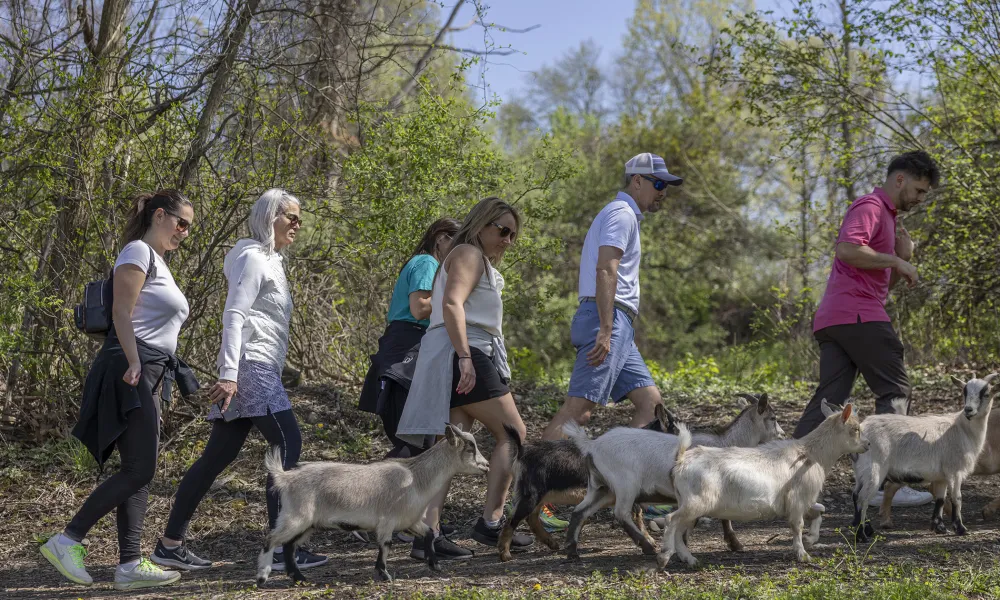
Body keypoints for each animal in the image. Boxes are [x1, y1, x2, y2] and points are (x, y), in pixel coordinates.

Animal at [560, 394, 784, 556]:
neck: (725, 443)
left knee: (580, 512)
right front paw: (733, 544)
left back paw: (572, 550)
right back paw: (647, 546)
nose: (782, 435)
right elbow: (716, 517)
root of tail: (592, 445)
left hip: (601, 487)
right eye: (773, 418)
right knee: (621, 513)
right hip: (625, 485)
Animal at [660, 398, 864, 568]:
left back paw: (689, 559)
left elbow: (819, 512)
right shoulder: (798, 499)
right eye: (855, 429)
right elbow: (797, 525)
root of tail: (681, 460)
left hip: (689, 503)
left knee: (679, 529)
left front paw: (810, 539)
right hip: (696, 502)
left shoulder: (799, 501)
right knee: (671, 520)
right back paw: (664, 557)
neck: (810, 454)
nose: (867, 444)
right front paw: (803, 554)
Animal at [852, 372, 992, 540]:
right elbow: (956, 498)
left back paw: (864, 528)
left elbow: (940, 499)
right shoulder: (954, 471)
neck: (962, 429)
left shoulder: (941, 476)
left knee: (855, 495)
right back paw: (862, 535)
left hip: (861, 470)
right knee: (863, 499)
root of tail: (861, 429)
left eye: (986, 394)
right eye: (964, 392)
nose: (969, 410)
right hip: (874, 469)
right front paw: (960, 528)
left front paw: (939, 527)